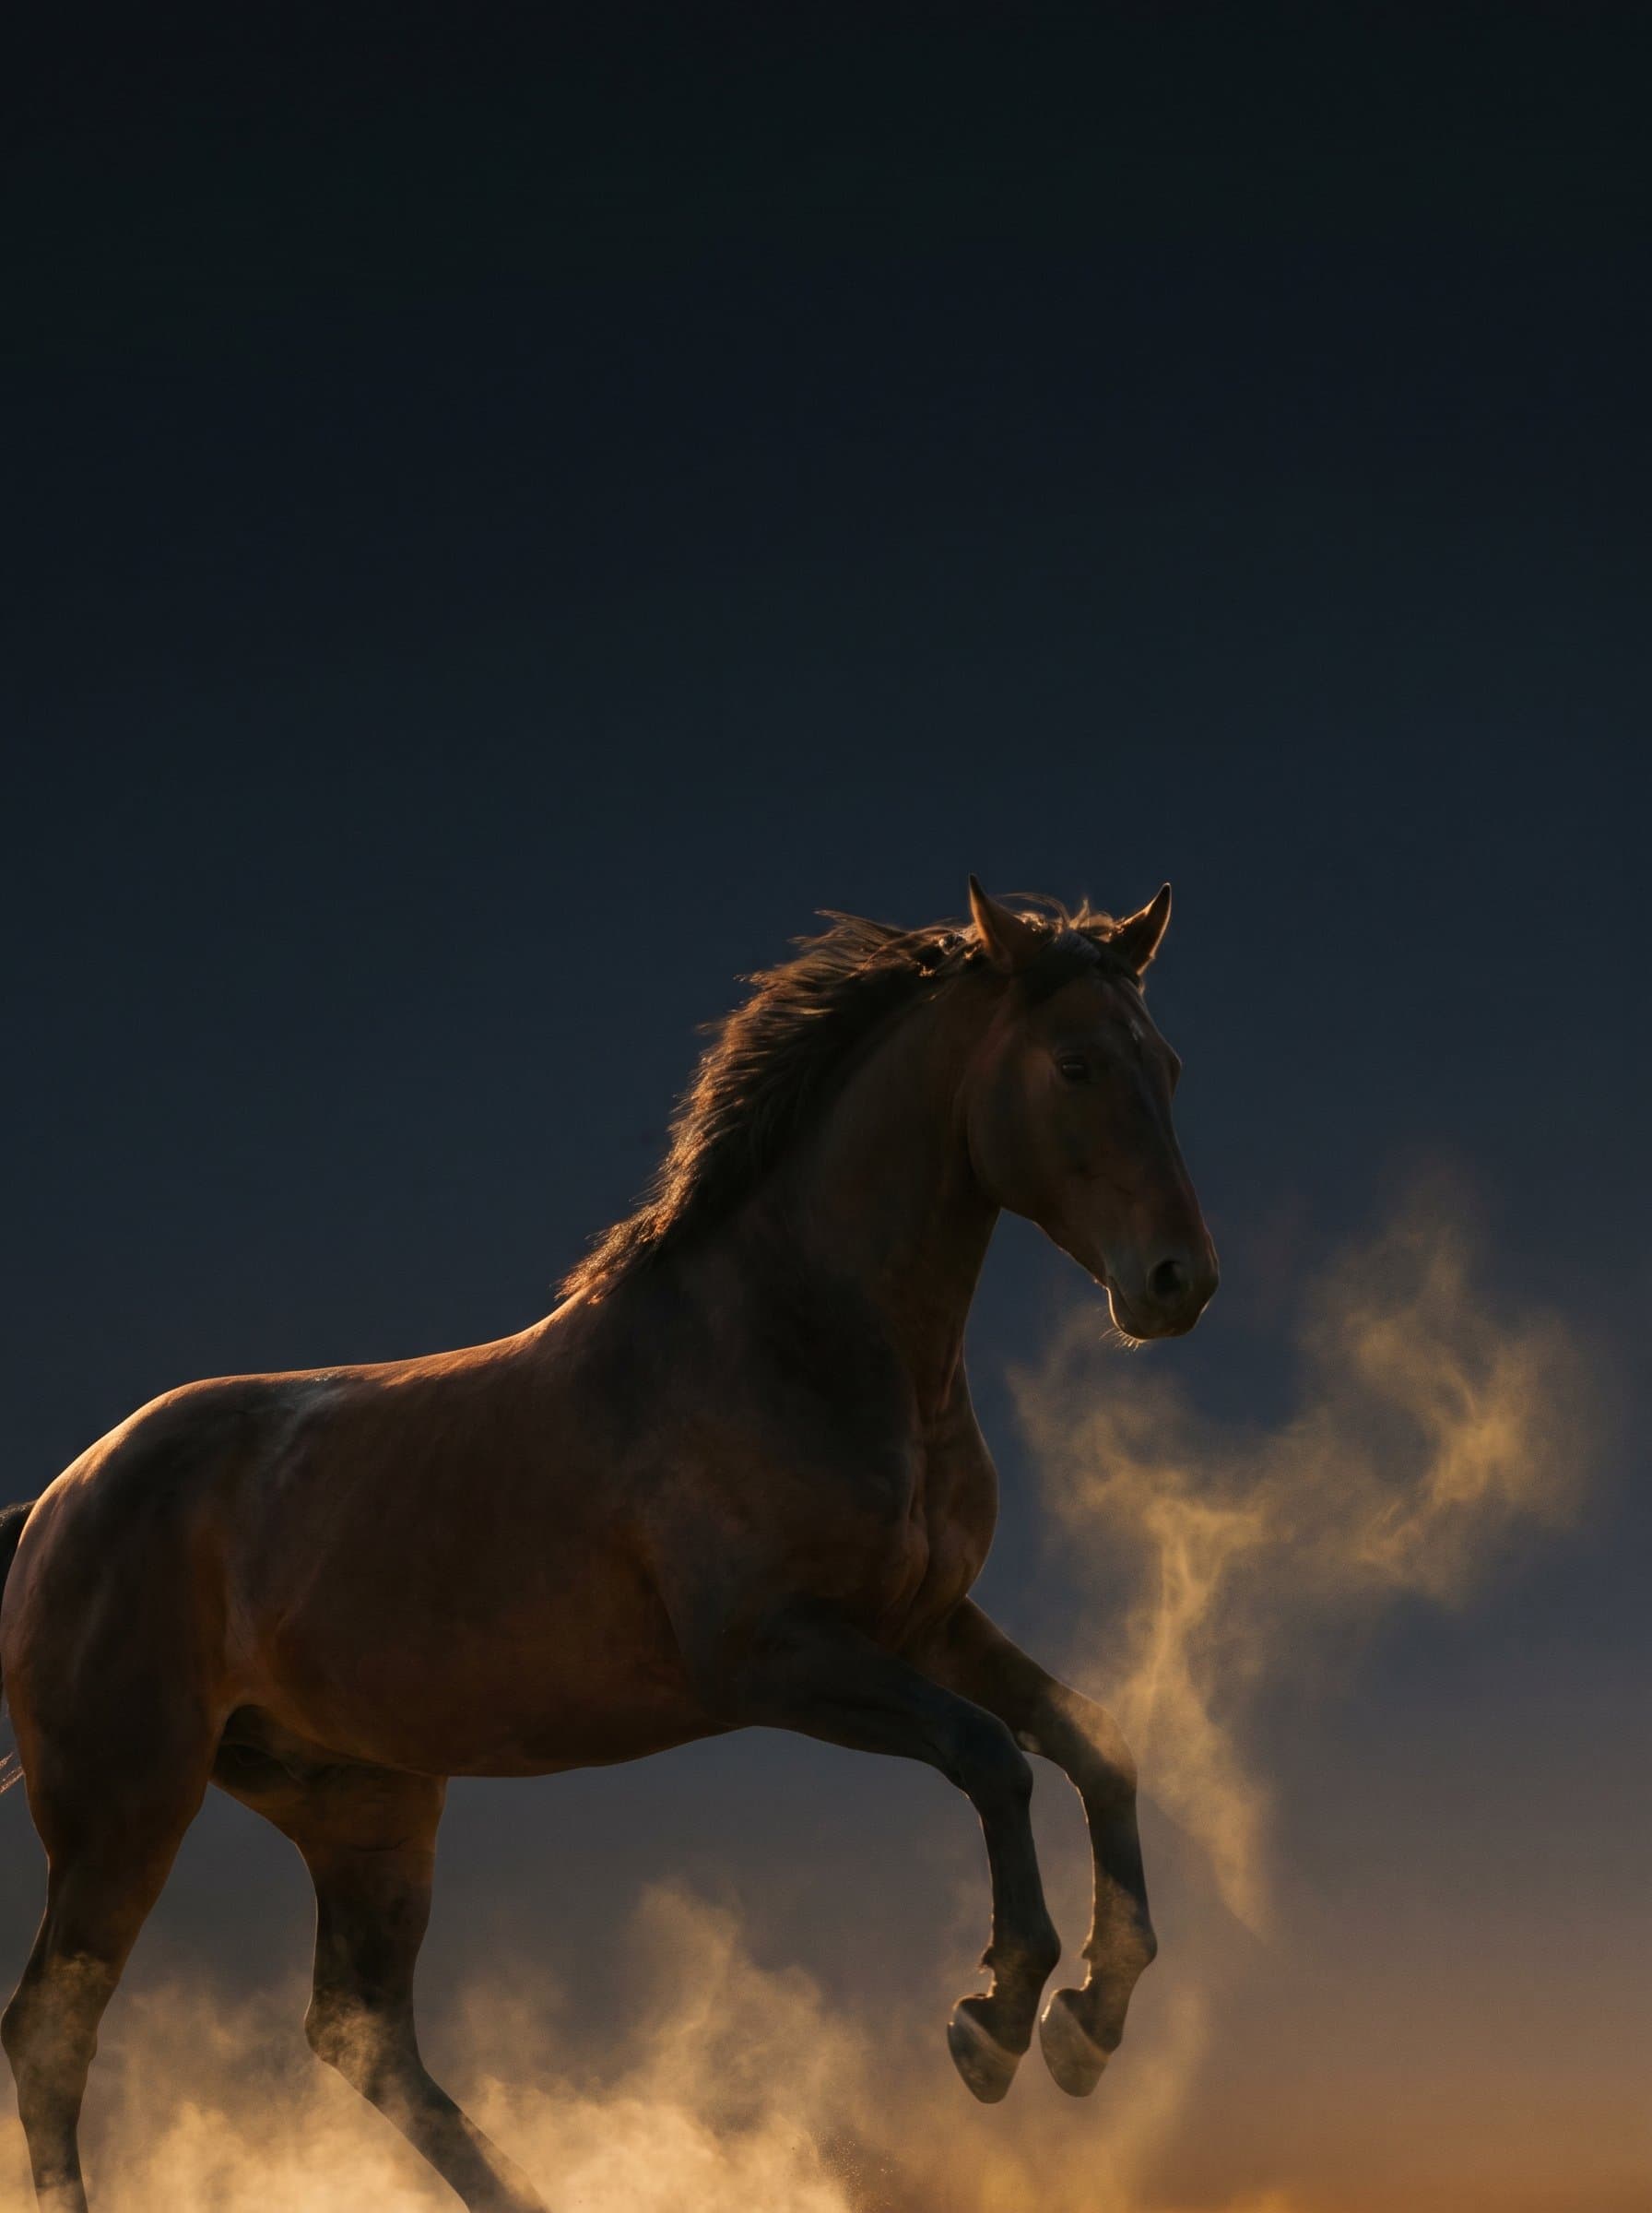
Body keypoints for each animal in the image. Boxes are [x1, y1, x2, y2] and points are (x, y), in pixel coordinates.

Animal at [0, 876, 1217, 2212]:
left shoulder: (927, 1626)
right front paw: (996, 2020)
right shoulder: (775, 1660)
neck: (793, 1339)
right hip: (126, 1801)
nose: (1177, 1283)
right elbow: (994, 1756)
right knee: (55, 2026)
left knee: (361, 2033)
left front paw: (1089, 2020)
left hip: (362, 1804)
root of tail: (60, 1498)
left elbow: (1094, 1745)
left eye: (1164, 1063)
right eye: (1075, 1063)